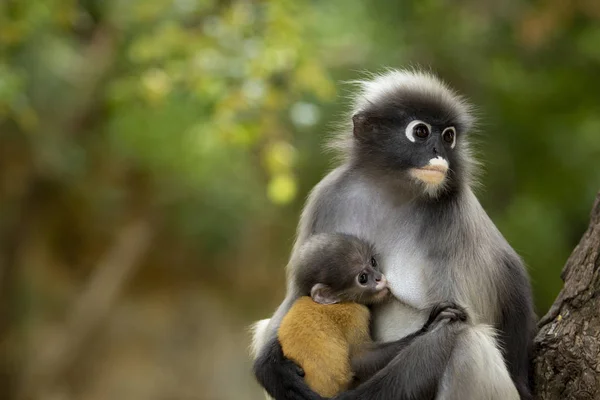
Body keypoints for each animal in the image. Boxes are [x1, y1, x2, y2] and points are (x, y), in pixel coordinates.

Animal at [248, 70, 536, 398]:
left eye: (448, 136)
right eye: (421, 132)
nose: (439, 152)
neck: (391, 191)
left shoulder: (453, 216)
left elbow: (455, 325)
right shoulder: (327, 195)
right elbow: (299, 293)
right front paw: (272, 369)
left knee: (470, 343)